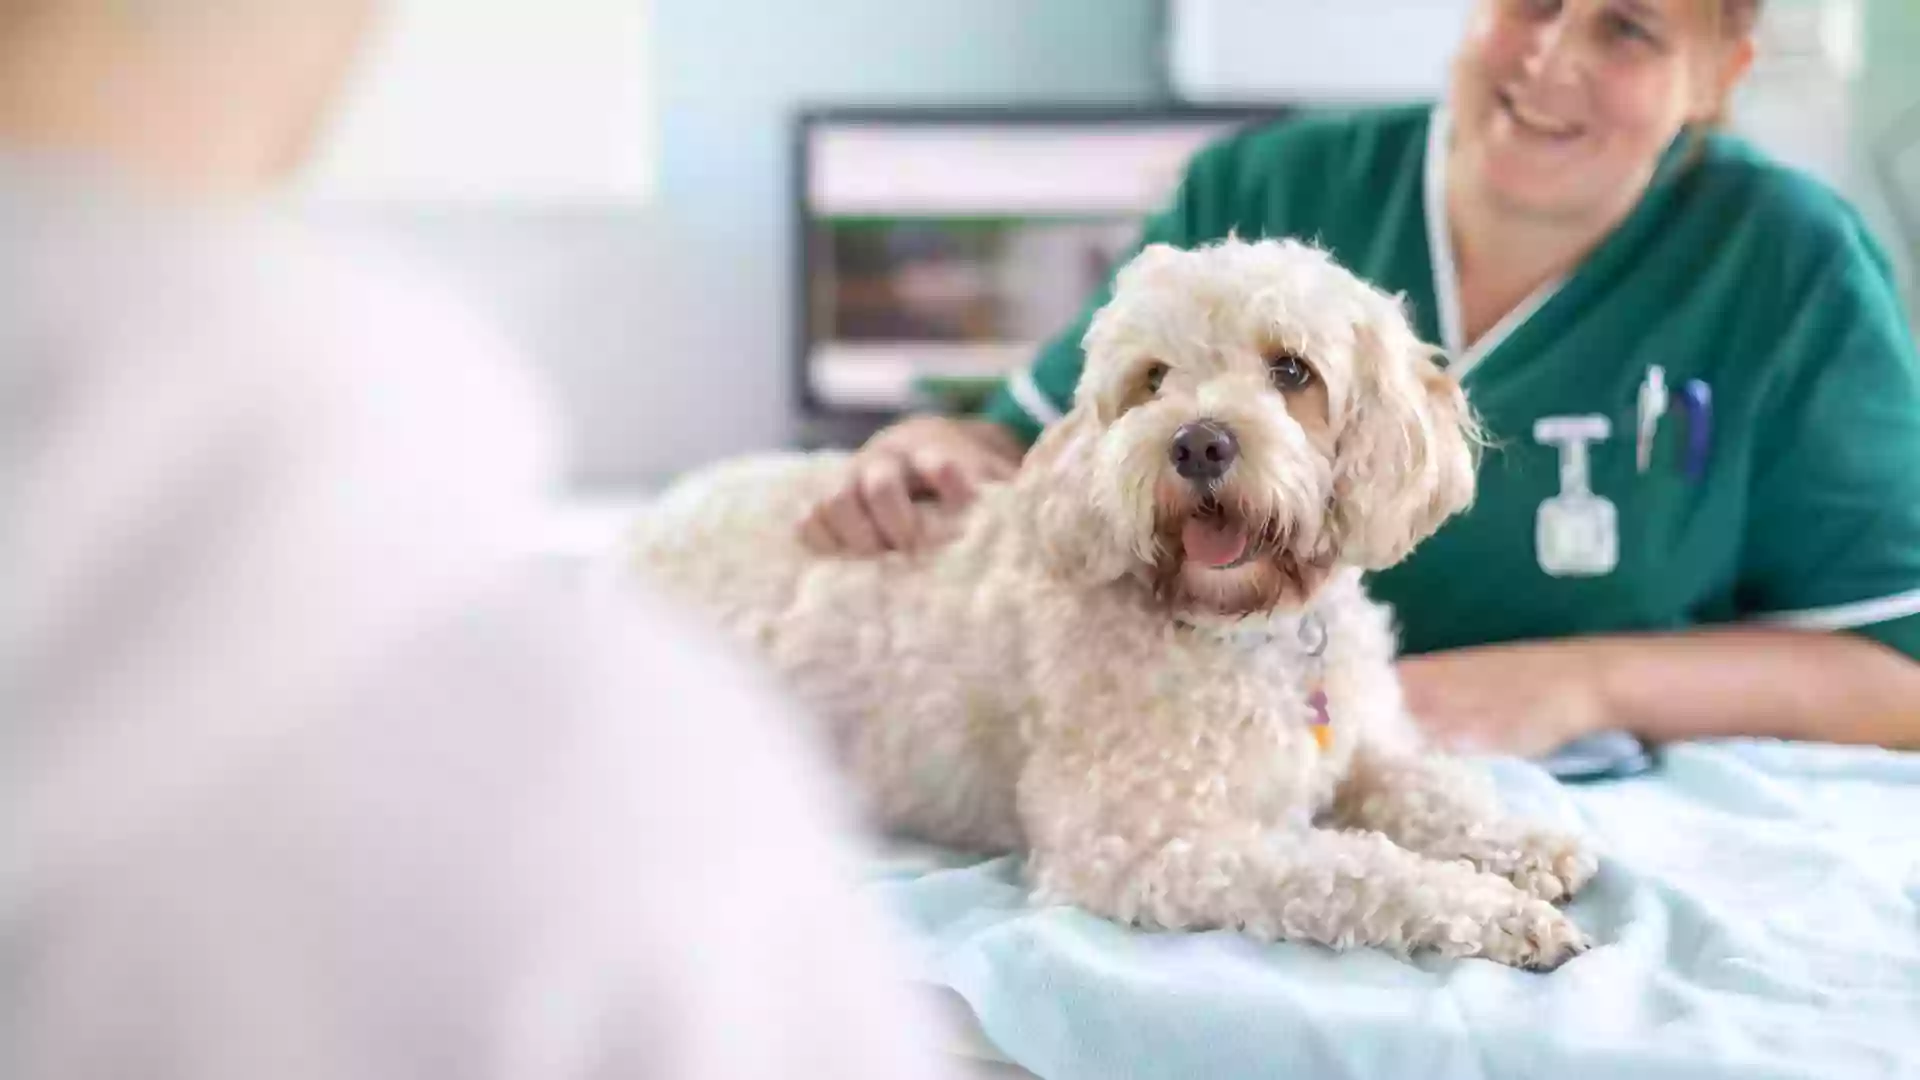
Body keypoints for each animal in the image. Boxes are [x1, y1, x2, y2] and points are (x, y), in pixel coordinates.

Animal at [629, 235, 1589, 968]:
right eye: (1154, 379)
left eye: (1291, 370)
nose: (1199, 443)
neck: (1248, 629)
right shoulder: (1146, 839)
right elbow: (1353, 869)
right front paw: (1495, 909)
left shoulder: (1361, 749)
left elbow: (1431, 786)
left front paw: (1526, 845)